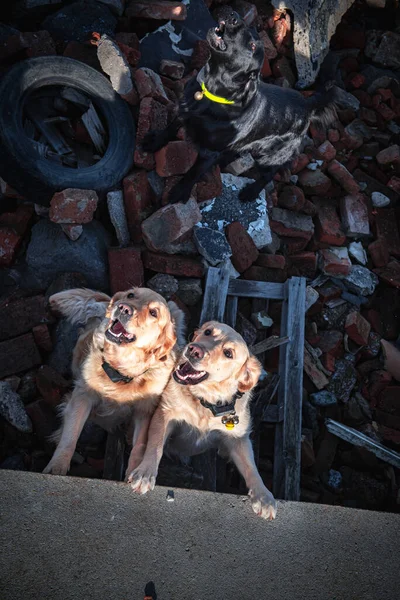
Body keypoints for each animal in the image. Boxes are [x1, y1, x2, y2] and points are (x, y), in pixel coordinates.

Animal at [43, 286, 187, 478]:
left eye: (153, 313)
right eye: (131, 295)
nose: (124, 308)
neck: (121, 371)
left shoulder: (145, 411)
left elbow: (139, 446)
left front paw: (134, 474)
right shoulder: (82, 396)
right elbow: (70, 436)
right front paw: (57, 467)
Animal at [130, 322, 276, 516]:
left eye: (228, 353)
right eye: (208, 332)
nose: (194, 350)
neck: (205, 402)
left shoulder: (239, 438)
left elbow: (251, 467)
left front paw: (263, 496)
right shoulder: (165, 413)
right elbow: (155, 446)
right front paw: (145, 472)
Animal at [144, 9, 338, 203]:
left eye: (252, 46)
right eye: (247, 27)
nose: (233, 16)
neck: (212, 93)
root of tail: (307, 103)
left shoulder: (209, 152)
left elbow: (193, 173)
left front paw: (179, 192)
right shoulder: (184, 110)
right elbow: (170, 128)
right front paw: (155, 142)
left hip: (273, 155)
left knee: (270, 174)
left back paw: (250, 192)